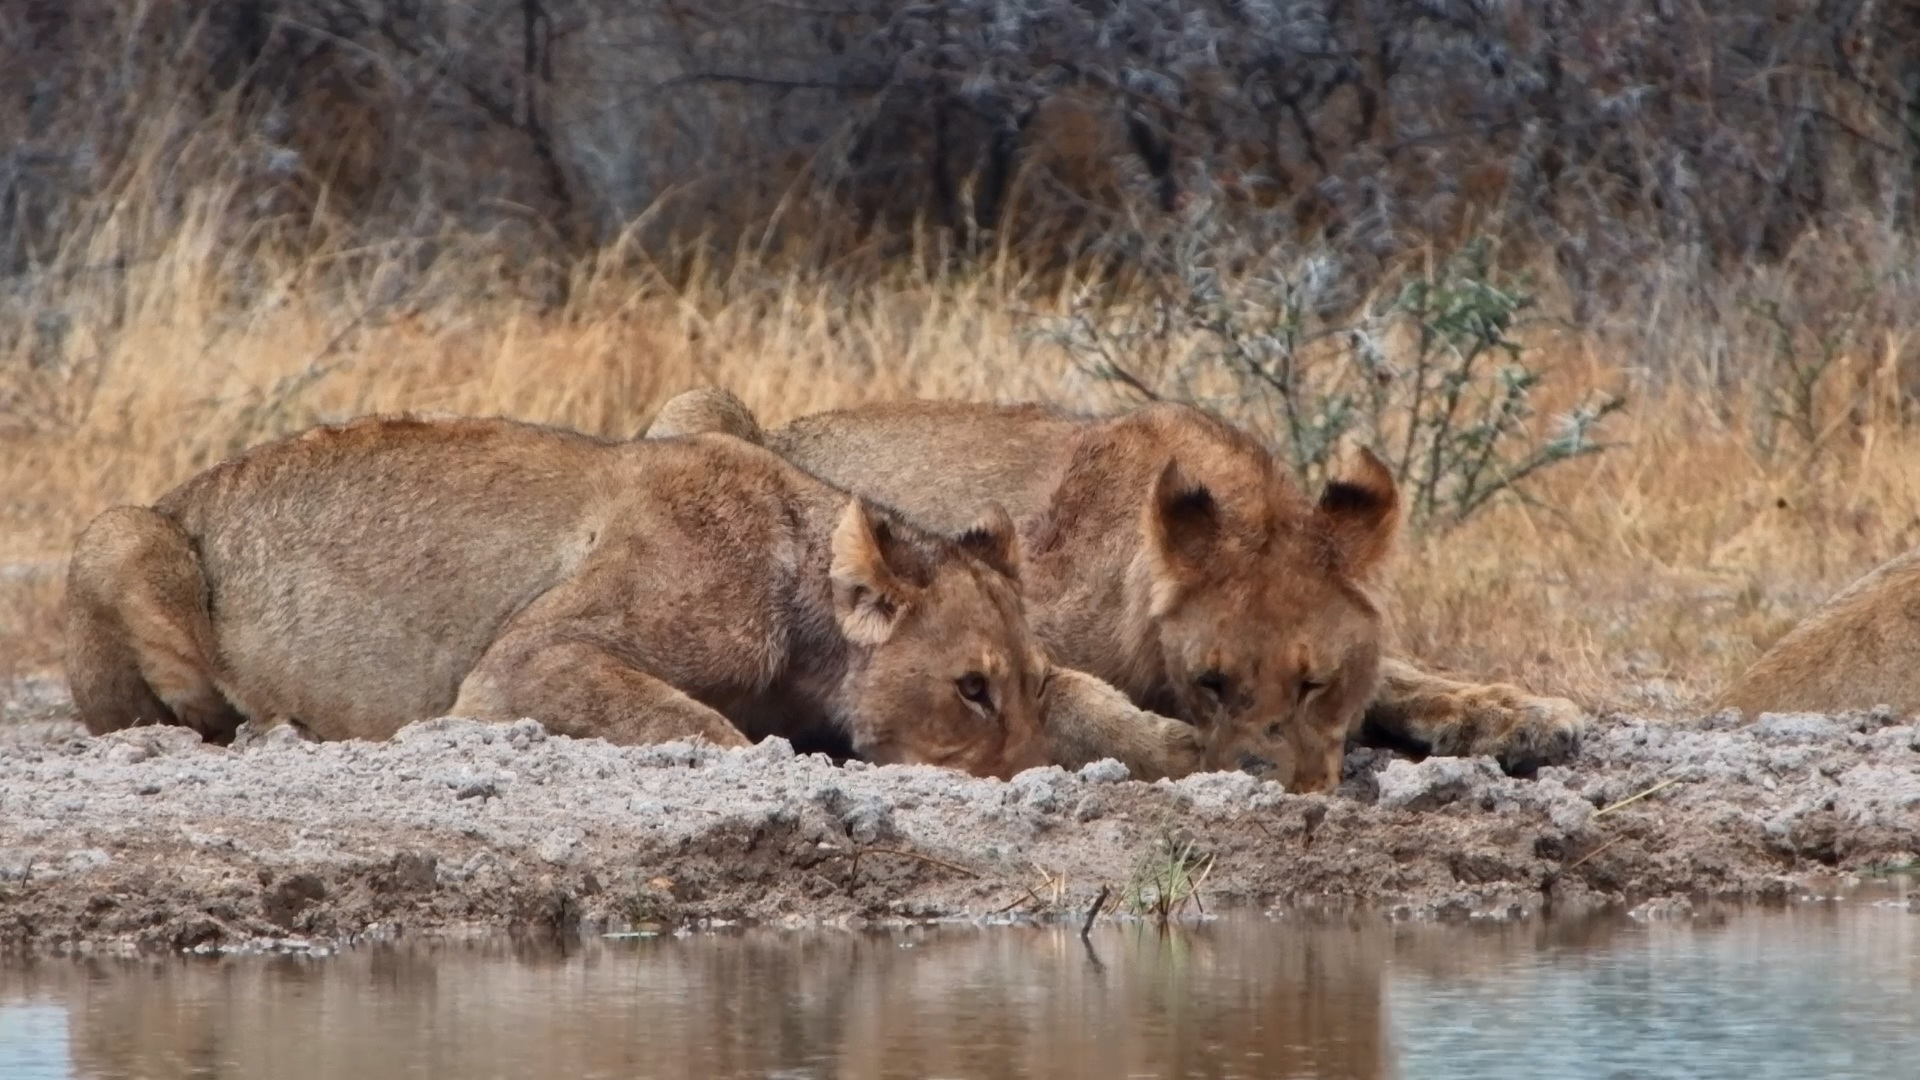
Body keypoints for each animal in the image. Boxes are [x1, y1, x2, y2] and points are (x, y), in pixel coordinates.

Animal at [63, 415, 1107, 779]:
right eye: (971, 689)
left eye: (1034, 684)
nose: (1030, 780)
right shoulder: (525, 663)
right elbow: (700, 727)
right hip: (118, 529)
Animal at [648, 390, 1585, 792]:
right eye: (1211, 682)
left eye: (1317, 683)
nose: (1277, 783)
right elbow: (1077, 697)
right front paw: (1171, 747)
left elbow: (1406, 672)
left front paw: (1520, 714)